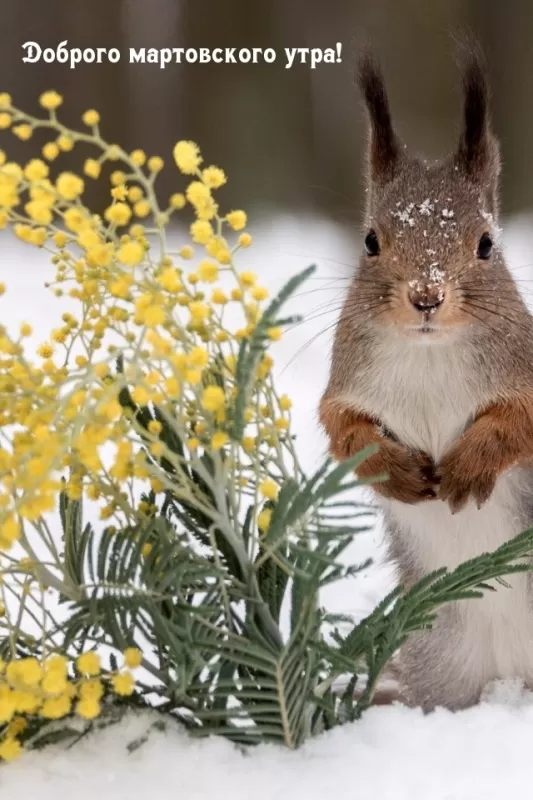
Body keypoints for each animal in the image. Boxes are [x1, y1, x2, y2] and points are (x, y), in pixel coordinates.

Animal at [318, 43, 533, 708]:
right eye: (370, 241)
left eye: (487, 243)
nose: (426, 296)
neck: (430, 352)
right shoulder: (347, 384)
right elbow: (344, 430)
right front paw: (399, 472)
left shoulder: (526, 373)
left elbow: (517, 422)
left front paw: (468, 465)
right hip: (442, 660)